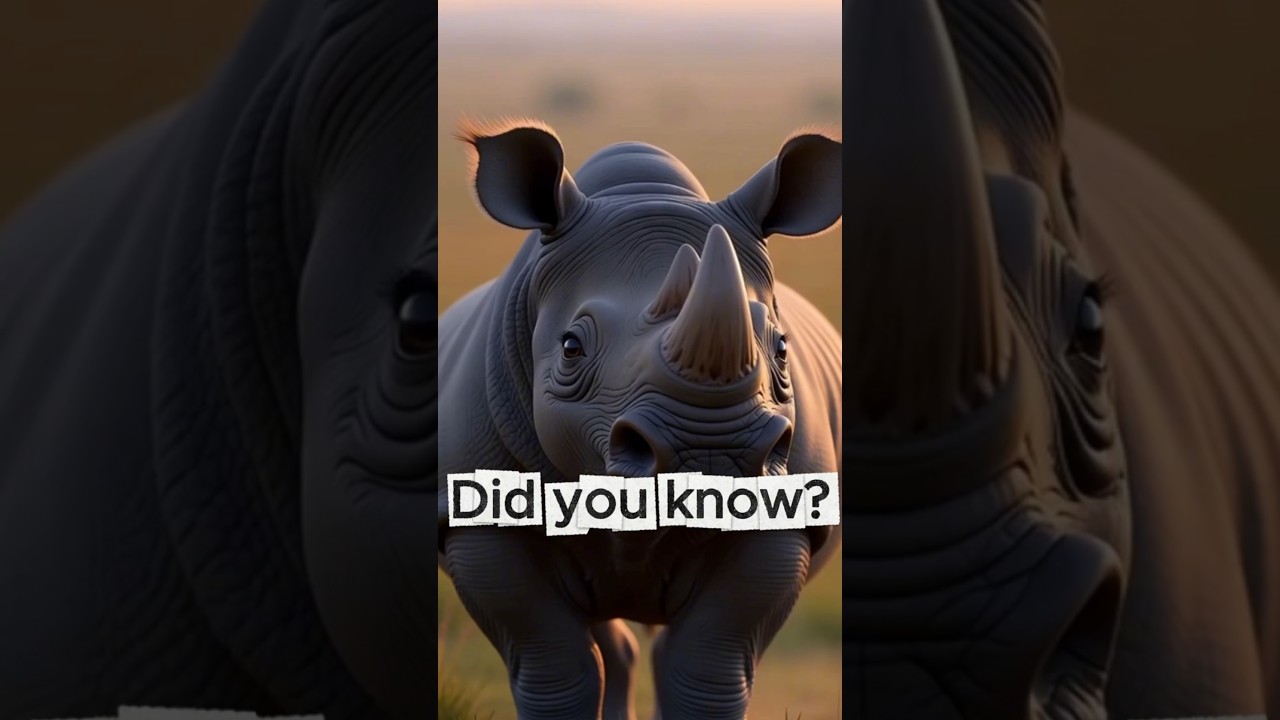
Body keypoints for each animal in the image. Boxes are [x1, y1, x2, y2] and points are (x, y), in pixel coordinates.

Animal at [435, 119, 843, 719]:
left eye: (783, 349)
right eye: (571, 348)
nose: (710, 452)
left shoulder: (786, 518)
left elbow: (706, 667)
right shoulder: (478, 515)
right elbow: (556, 665)